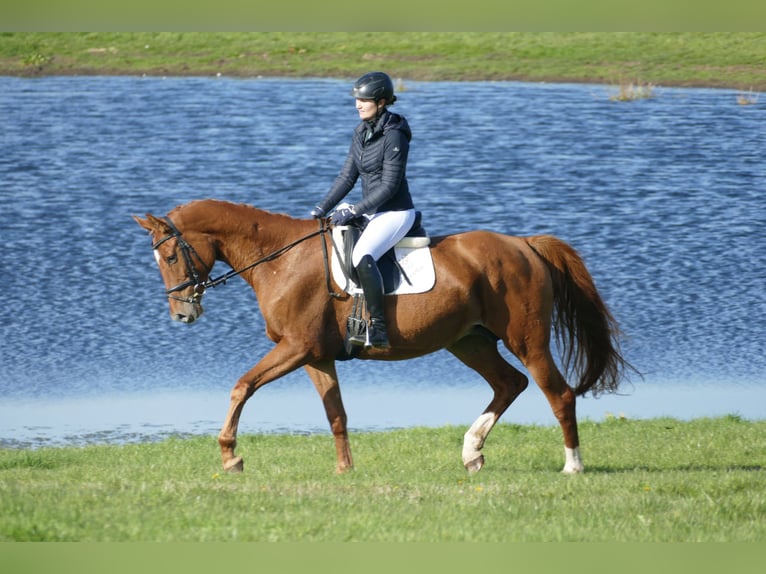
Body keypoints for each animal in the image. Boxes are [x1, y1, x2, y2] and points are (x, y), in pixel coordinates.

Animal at [135, 200, 632, 474]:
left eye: (169, 256)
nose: (182, 313)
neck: (279, 260)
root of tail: (524, 245)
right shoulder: (315, 356)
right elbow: (336, 414)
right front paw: (344, 469)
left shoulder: (294, 348)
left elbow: (242, 386)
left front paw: (230, 457)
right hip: (468, 341)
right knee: (510, 384)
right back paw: (471, 452)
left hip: (526, 340)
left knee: (557, 394)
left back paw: (572, 466)